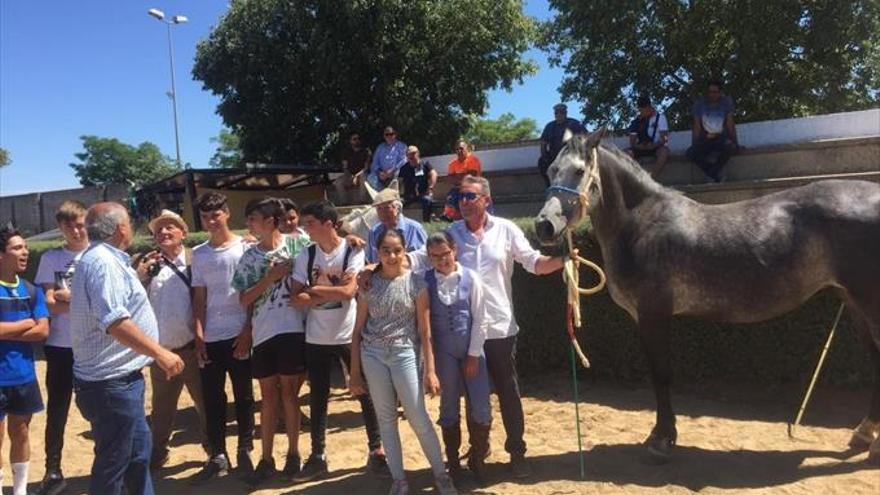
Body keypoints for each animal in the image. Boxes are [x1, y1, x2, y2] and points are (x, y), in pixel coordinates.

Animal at [532, 130, 876, 464]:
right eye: (551, 170)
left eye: (579, 170)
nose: (544, 226)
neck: (641, 224)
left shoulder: (654, 314)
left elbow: (661, 375)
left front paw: (662, 440)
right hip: (854, 303)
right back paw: (863, 435)